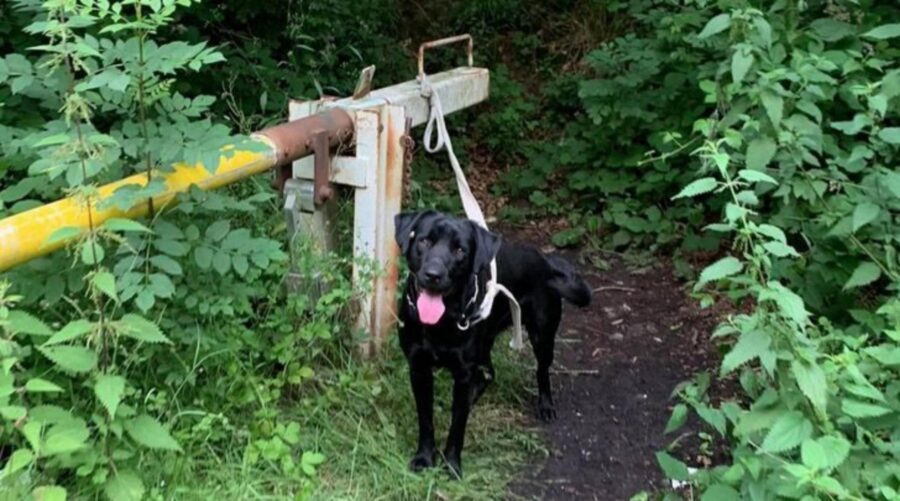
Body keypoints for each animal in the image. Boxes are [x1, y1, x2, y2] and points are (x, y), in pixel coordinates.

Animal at [394, 209, 592, 474]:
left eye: (460, 250)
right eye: (424, 241)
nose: (433, 275)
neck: (443, 321)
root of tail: (545, 260)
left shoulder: (463, 373)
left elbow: (458, 425)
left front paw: (452, 465)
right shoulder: (419, 368)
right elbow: (425, 419)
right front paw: (425, 458)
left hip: (542, 334)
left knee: (541, 370)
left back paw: (545, 406)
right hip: (486, 342)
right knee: (489, 373)